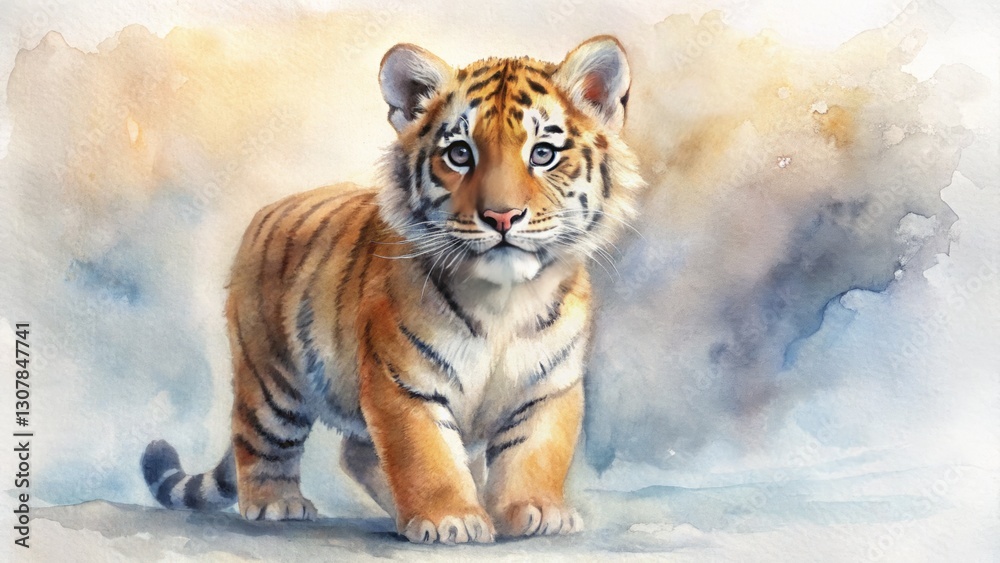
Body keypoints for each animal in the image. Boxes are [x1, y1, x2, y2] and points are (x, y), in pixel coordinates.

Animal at [141, 35, 644, 544]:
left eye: (542, 153)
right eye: (459, 153)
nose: (501, 217)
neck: (504, 299)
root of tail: (268, 211)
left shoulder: (549, 387)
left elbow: (533, 453)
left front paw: (536, 511)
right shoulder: (404, 382)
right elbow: (426, 454)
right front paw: (450, 518)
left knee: (357, 453)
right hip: (271, 380)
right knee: (261, 440)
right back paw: (275, 503)